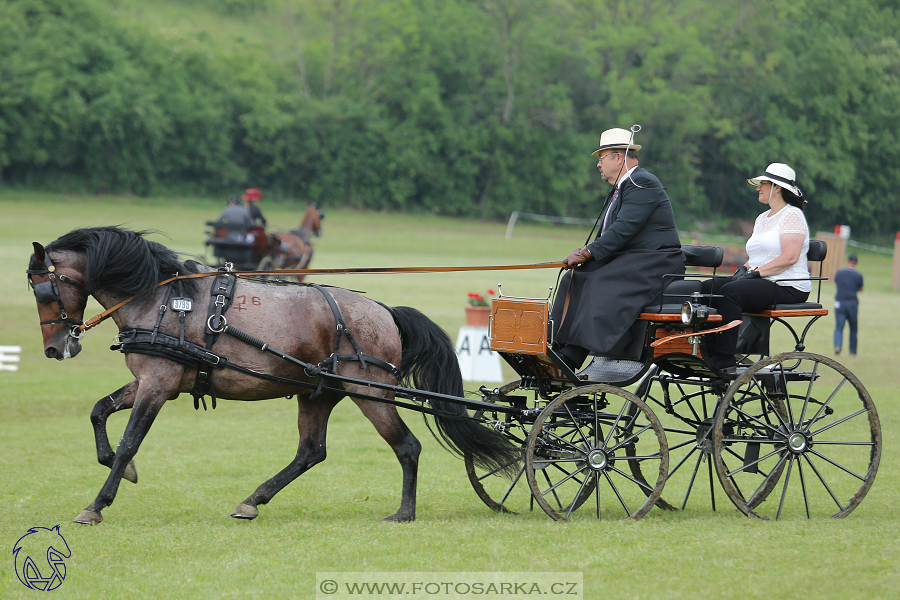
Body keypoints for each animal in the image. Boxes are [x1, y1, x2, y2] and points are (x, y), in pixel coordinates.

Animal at [26, 225, 520, 524]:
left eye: (42, 287)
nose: (55, 348)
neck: (165, 303)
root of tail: (384, 311)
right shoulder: (152, 382)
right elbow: (98, 411)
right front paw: (119, 470)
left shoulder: (158, 385)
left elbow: (130, 439)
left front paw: (97, 503)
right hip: (319, 393)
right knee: (310, 452)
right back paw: (253, 500)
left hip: (369, 392)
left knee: (407, 446)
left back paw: (404, 512)